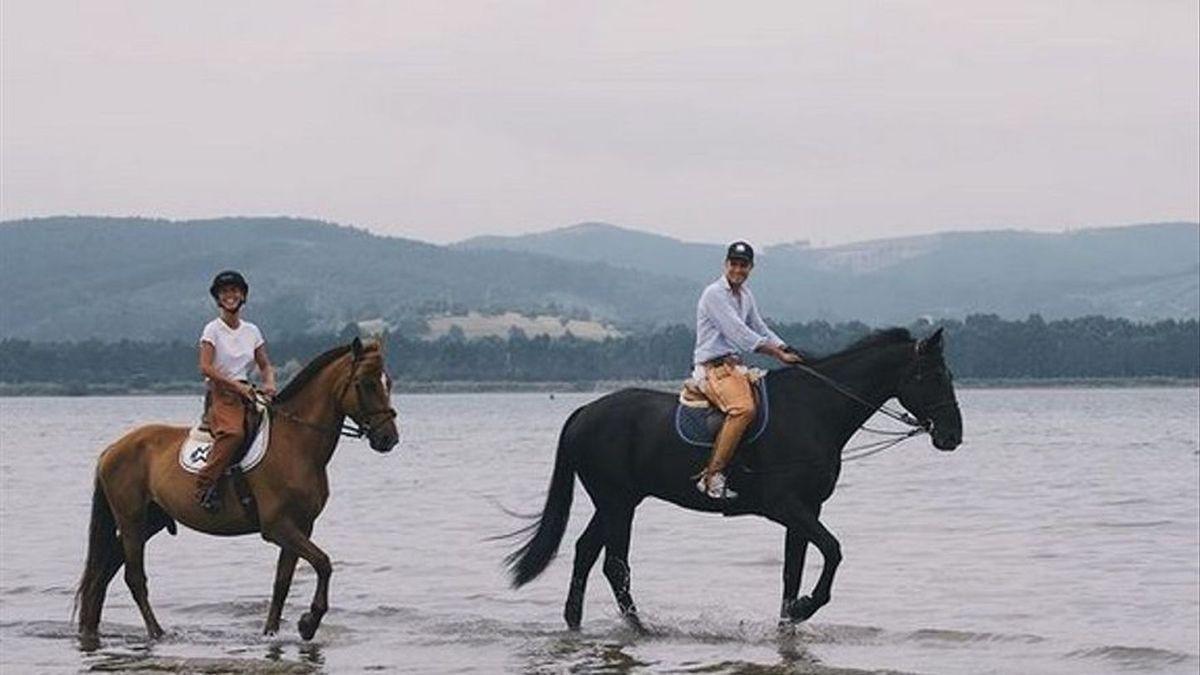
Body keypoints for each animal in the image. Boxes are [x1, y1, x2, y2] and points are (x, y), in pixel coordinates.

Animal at [77, 336, 400, 638]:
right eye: (365, 383)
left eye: (388, 382)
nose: (388, 438)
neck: (296, 443)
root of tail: (113, 448)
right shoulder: (278, 526)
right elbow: (323, 563)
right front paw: (309, 623)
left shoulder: (301, 526)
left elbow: (283, 582)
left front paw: (272, 633)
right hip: (131, 519)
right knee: (133, 577)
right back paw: (156, 632)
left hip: (150, 519)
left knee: (105, 570)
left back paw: (91, 628)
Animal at [506, 326, 964, 624]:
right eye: (932, 375)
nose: (952, 435)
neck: (813, 410)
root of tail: (585, 411)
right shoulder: (785, 506)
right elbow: (833, 550)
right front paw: (805, 607)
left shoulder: (806, 510)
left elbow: (792, 570)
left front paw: (789, 621)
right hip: (617, 501)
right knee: (614, 565)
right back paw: (640, 629)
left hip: (617, 501)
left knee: (586, 551)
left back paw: (576, 621)